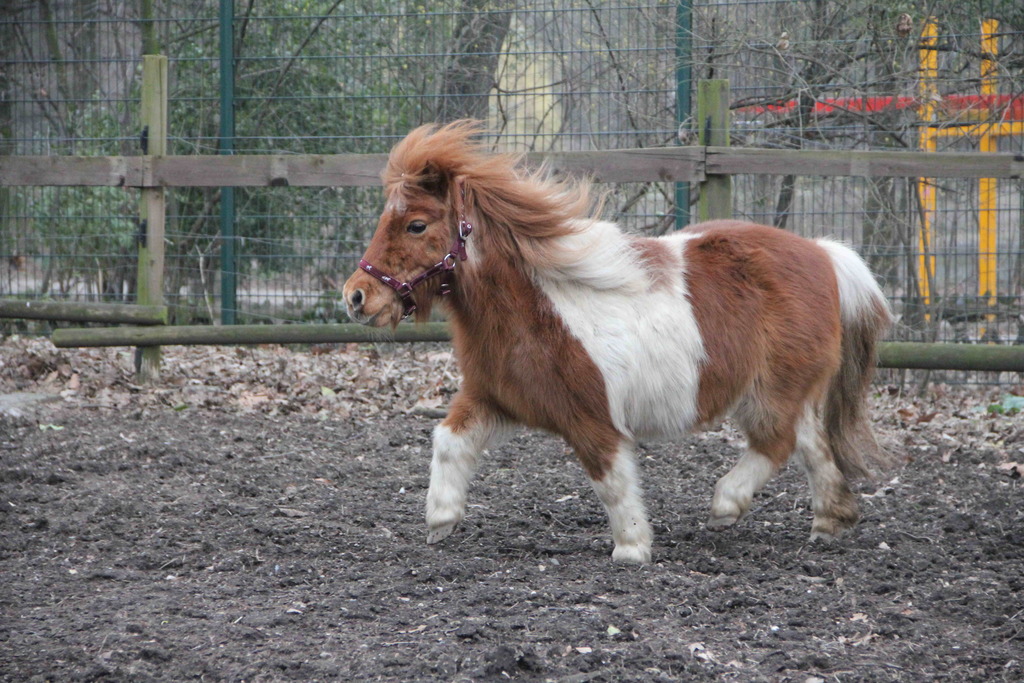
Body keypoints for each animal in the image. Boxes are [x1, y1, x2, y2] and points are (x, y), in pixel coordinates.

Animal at [342, 120, 888, 565]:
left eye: (416, 225)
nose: (355, 296)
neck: (539, 309)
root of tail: (824, 253)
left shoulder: (592, 421)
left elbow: (611, 482)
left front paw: (632, 548)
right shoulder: (491, 399)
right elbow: (448, 442)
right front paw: (440, 520)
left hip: (769, 394)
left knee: (776, 445)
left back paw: (725, 506)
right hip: (788, 392)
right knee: (813, 444)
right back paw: (829, 523)